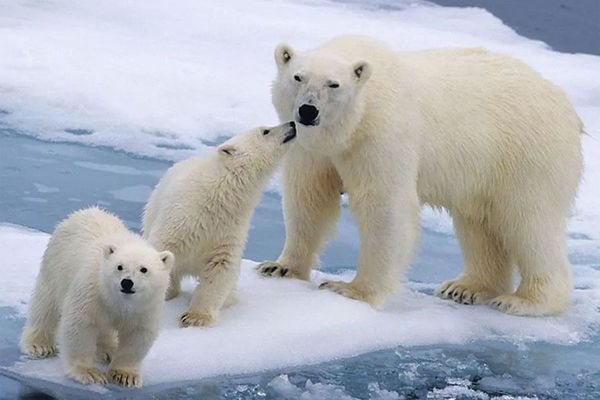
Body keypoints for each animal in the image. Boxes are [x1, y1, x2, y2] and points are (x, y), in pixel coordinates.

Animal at [20, 208, 173, 386]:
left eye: (144, 269)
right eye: (119, 266)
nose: (127, 283)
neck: (118, 300)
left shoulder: (147, 306)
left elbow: (137, 334)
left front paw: (125, 375)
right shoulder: (91, 292)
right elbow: (80, 325)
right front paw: (89, 373)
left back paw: (109, 350)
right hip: (55, 266)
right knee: (45, 305)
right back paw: (40, 345)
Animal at [144, 122, 298, 328]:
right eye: (265, 130)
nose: (292, 124)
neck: (218, 196)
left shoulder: (229, 226)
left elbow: (221, 267)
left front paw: (195, 317)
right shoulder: (182, 216)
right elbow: (162, 249)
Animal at [258, 35, 584, 316]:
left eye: (334, 84)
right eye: (298, 77)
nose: (307, 110)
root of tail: (568, 109)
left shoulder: (382, 134)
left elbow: (385, 208)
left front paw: (353, 290)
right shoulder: (311, 149)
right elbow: (308, 198)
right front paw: (280, 267)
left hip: (526, 156)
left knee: (529, 223)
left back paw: (526, 300)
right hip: (483, 172)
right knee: (479, 224)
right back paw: (465, 288)